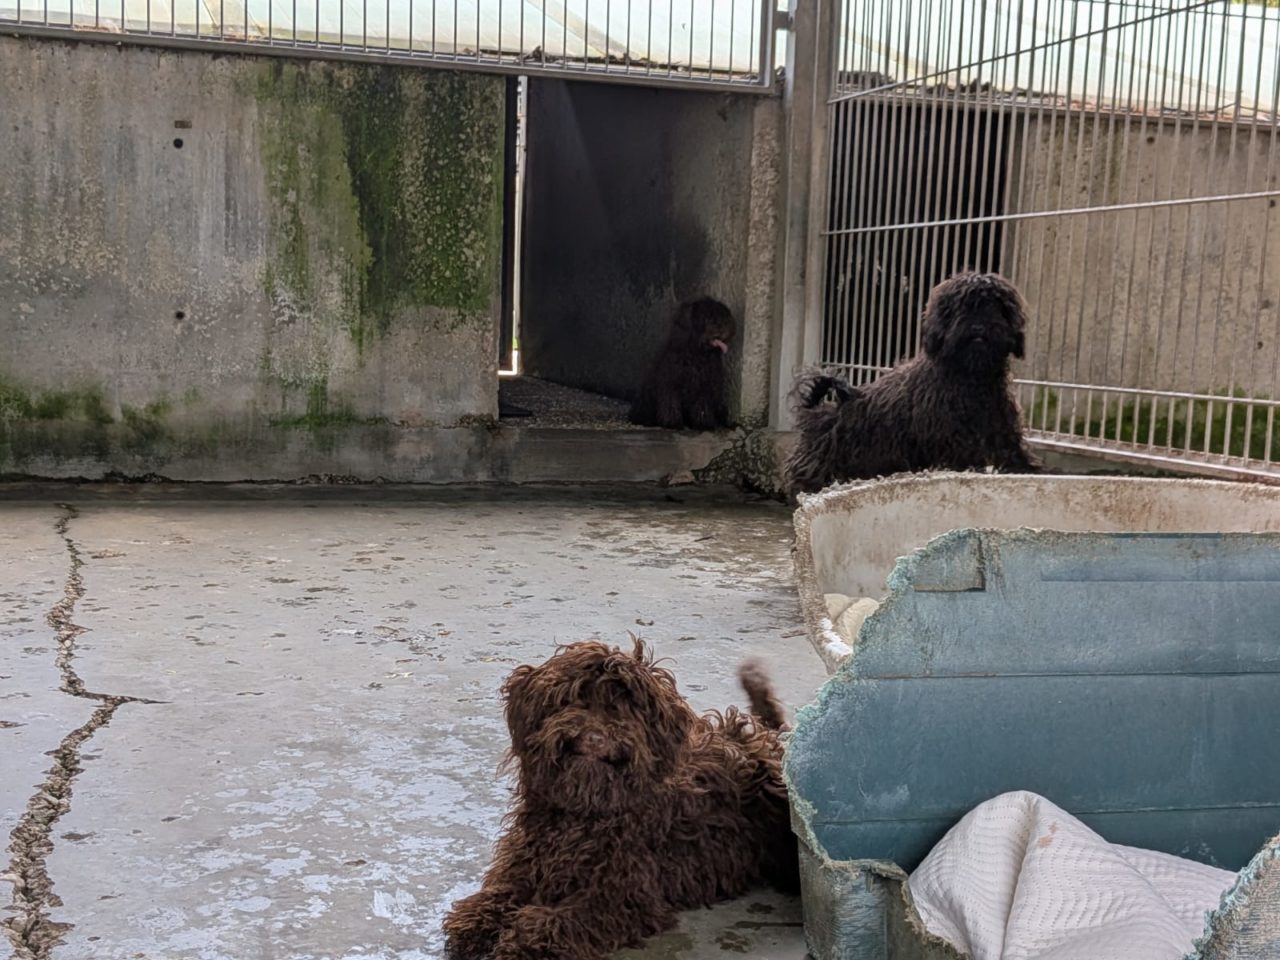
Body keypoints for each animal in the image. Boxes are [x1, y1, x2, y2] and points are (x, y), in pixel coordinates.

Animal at [442, 638, 797, 960]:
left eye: (625, 708)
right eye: (575, 698)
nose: (595, 737)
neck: (583, 814)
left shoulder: (621, 896)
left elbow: (558, 919)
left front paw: (519, 942)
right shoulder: (528, 861)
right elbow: (501, 892)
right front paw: (476, 920)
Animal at [629, 297, 736, 430]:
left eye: (723, 315)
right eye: (706, 317)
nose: (723, 326)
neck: (697, 354)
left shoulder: (704, 386)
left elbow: (702, 406)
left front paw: (704, 423)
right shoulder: (670, 383)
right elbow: (670, 403)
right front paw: (672, 422)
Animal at [784, 271, 1041, 496]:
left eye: (996, 306)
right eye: (962, 306)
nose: (978, 326)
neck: (972, 377)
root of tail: (821, 411)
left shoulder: (1002, 429)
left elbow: (1014, 452)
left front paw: (1027, 471)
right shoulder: (954, 442)